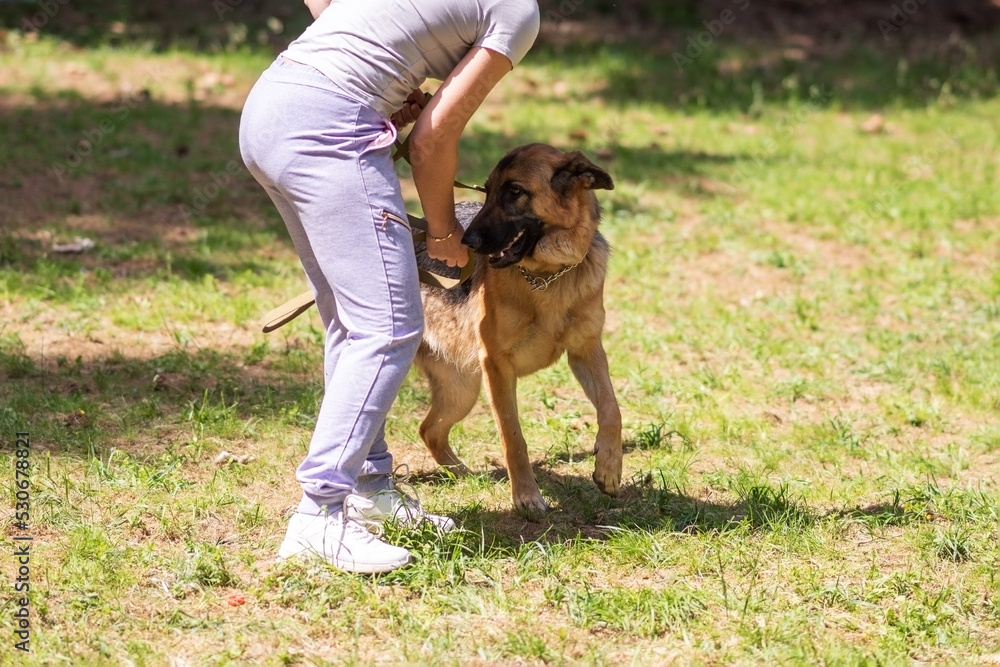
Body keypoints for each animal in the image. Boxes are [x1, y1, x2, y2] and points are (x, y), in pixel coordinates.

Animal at [416, 144, 620, 520]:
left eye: (514, 191)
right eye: (486, 192)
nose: (467, 242)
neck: (548, 275)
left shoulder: (587, 351)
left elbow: (612, 408)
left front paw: (610, 467)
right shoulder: (497, 367)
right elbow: (513, 436)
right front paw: (526, 496)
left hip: (462, 390)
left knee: (430, 430)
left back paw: (465, 475)